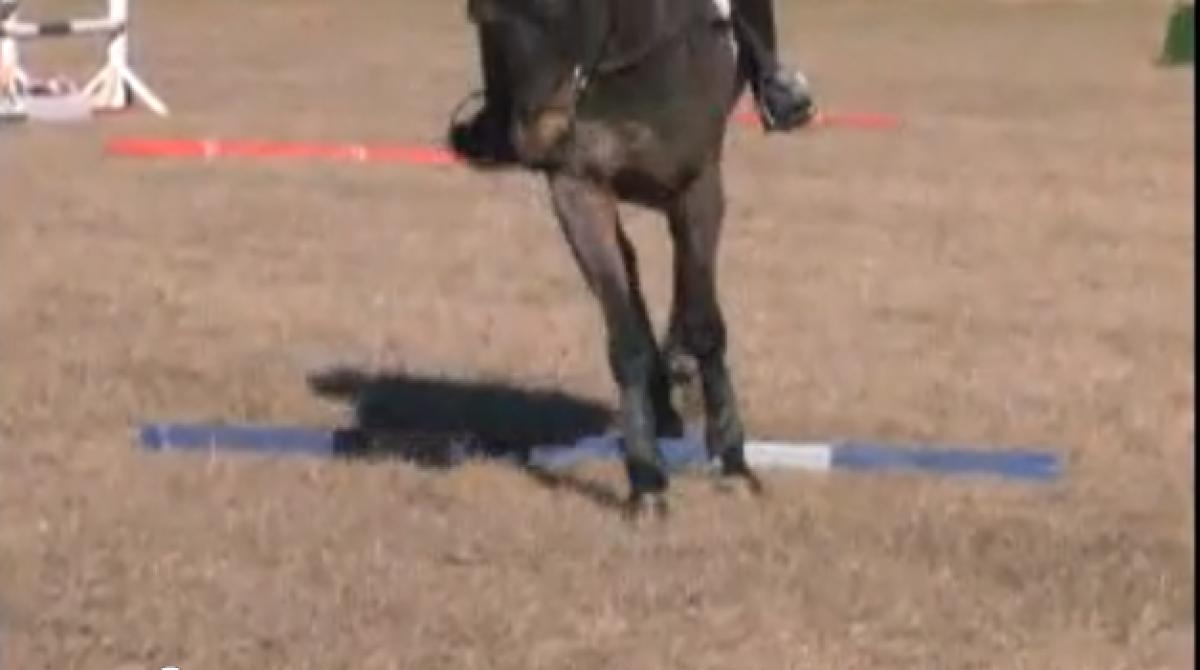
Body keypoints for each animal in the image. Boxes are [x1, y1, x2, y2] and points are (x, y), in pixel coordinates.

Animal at [453, 0, 811, 521]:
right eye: (480, 17)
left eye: (565, 8)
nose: (538, 137)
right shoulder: (579, 190)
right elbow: (626, 337)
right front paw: (646, 480)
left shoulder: (698, 187)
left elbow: (705, 323)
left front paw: (734, 464)